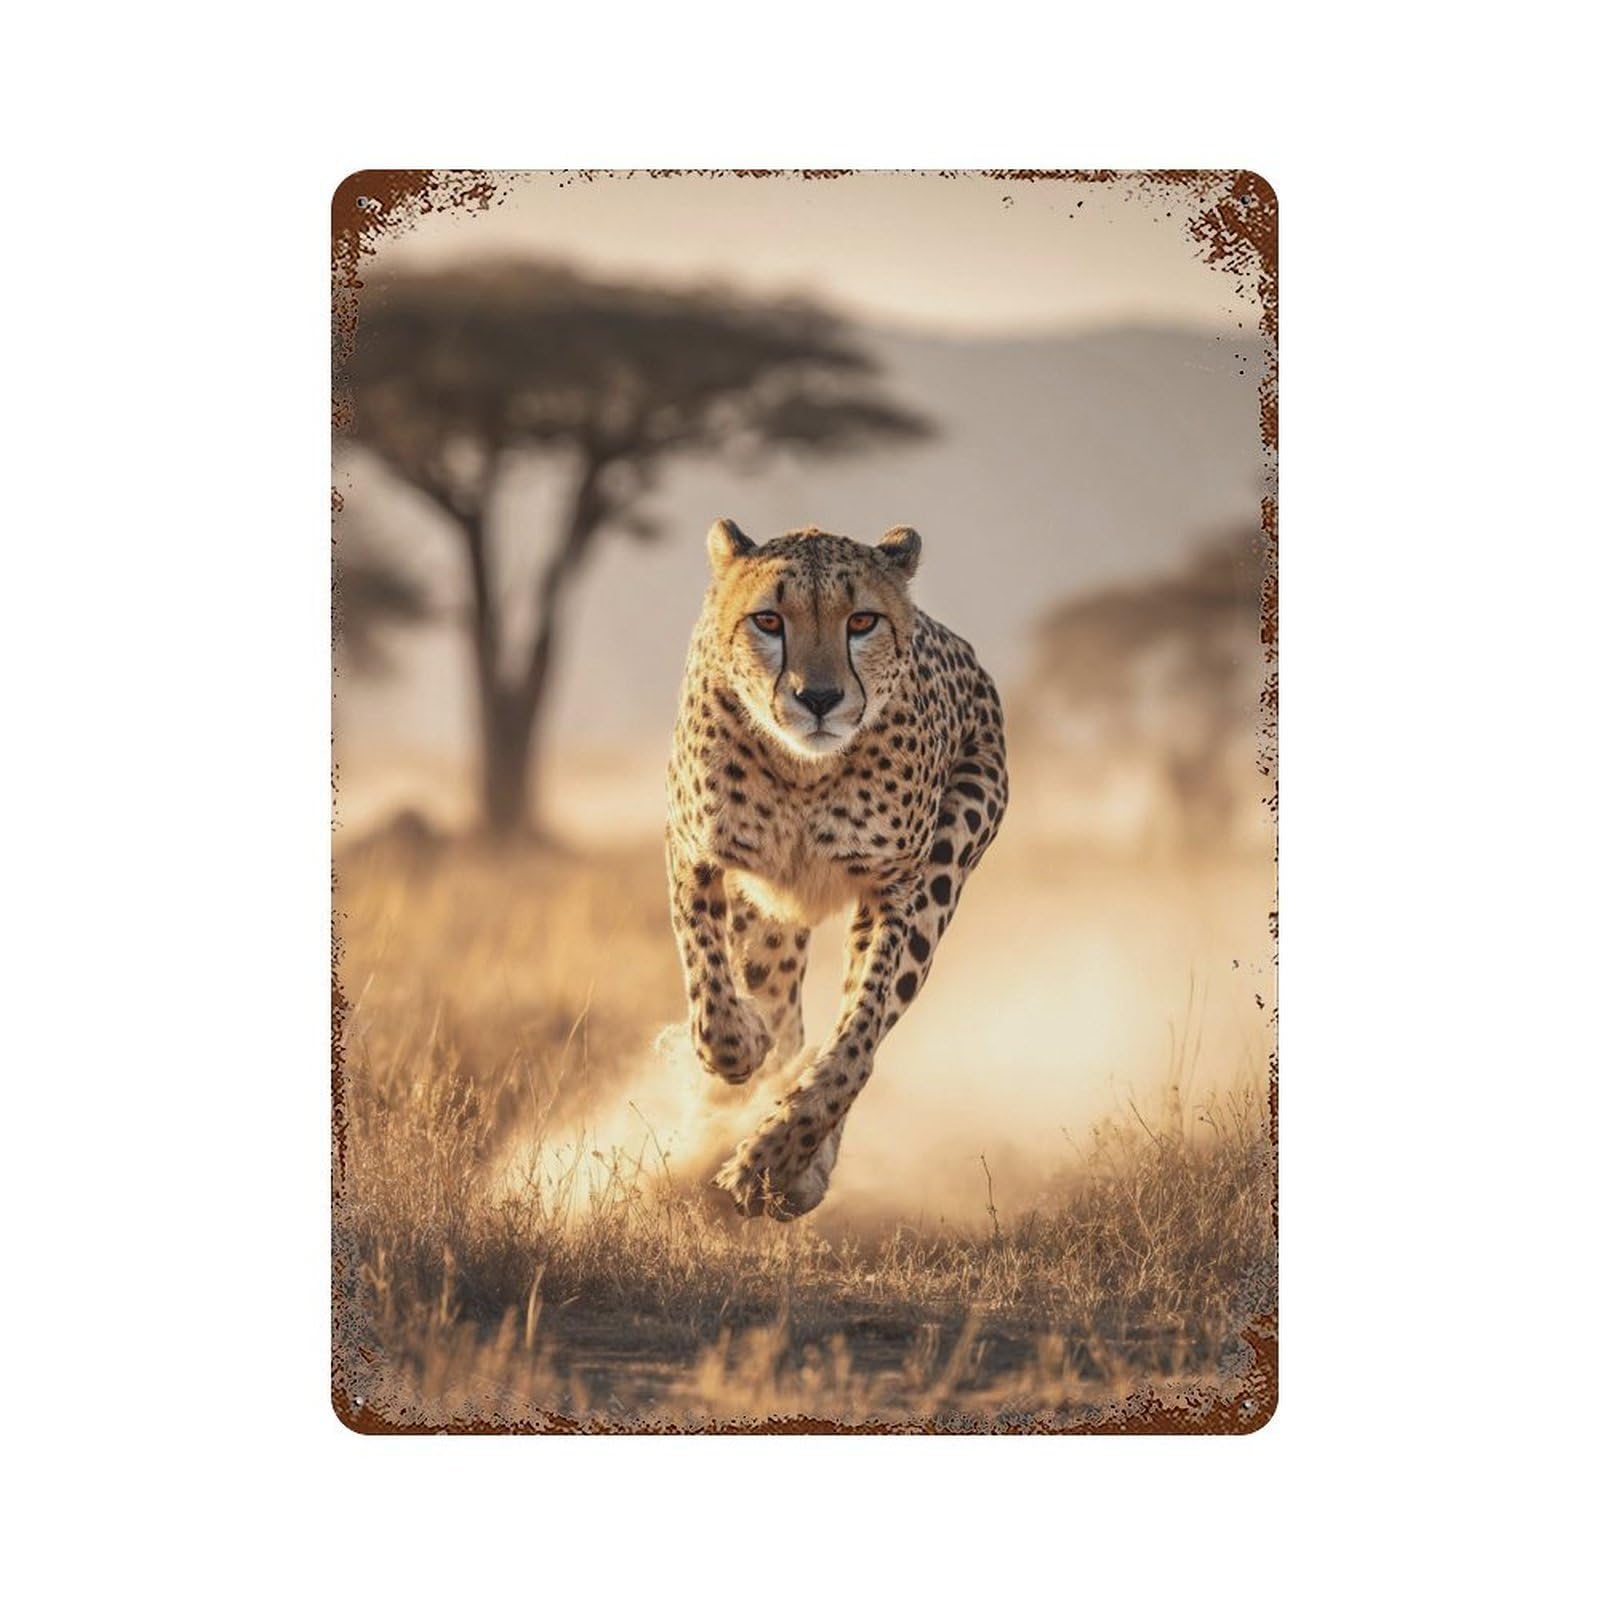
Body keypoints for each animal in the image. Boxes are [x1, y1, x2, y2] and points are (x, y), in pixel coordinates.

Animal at [666, 519, 1008, 1219]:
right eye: (768, 620)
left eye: (862, 622)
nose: (819, 697)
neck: (804, 770)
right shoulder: (695, 853)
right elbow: (710, 989)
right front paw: (742, 1048)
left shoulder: (894, 890)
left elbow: (856, 1040)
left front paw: (771, 1164)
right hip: (769, 918)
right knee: (783, 1009)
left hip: (945, 864)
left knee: (858, 1034)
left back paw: (798, 1162)